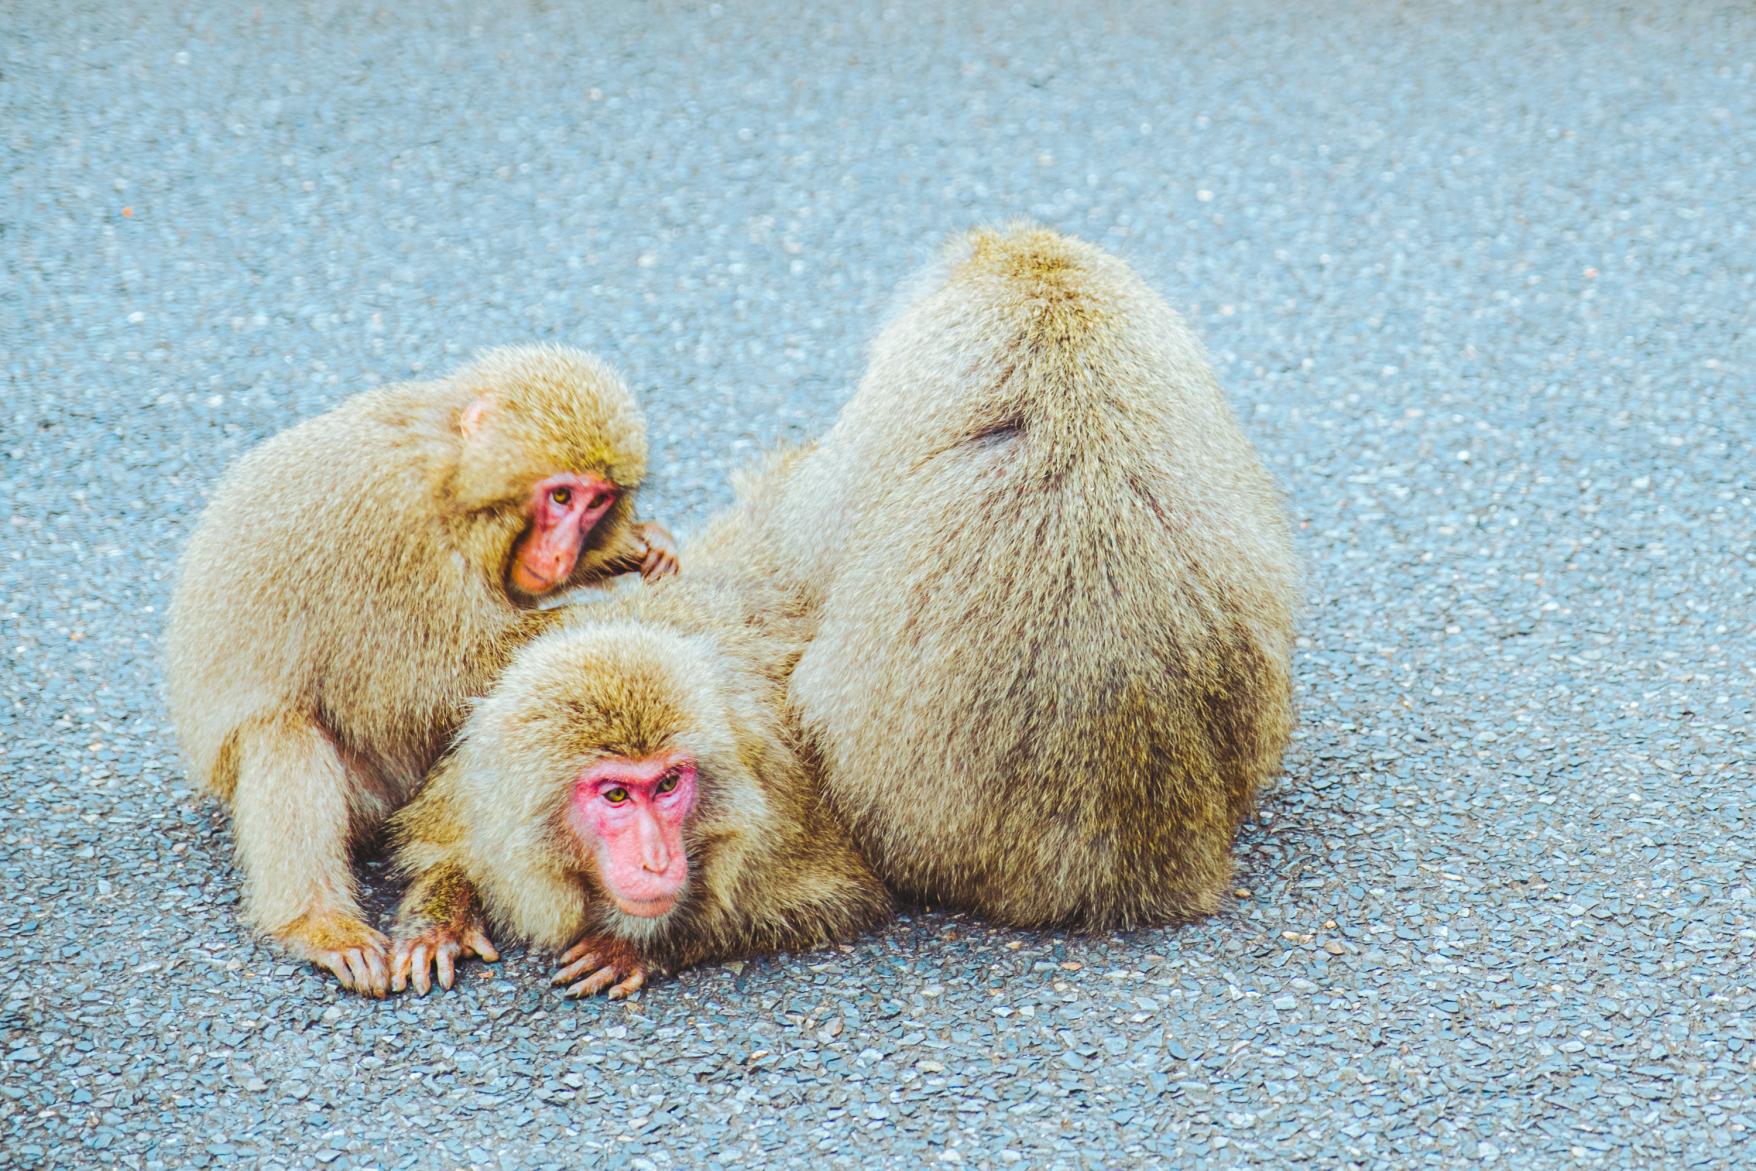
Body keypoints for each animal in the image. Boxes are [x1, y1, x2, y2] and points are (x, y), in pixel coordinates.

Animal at [161, 344, 677, 997]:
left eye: (598, 502)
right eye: (561, 497)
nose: (562, 552)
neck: (448, 477)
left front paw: (637, 547)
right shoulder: (392, 530)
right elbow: (414, 690)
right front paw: (621, 609)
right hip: (365, 797)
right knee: (282, 733)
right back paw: (318, 923)